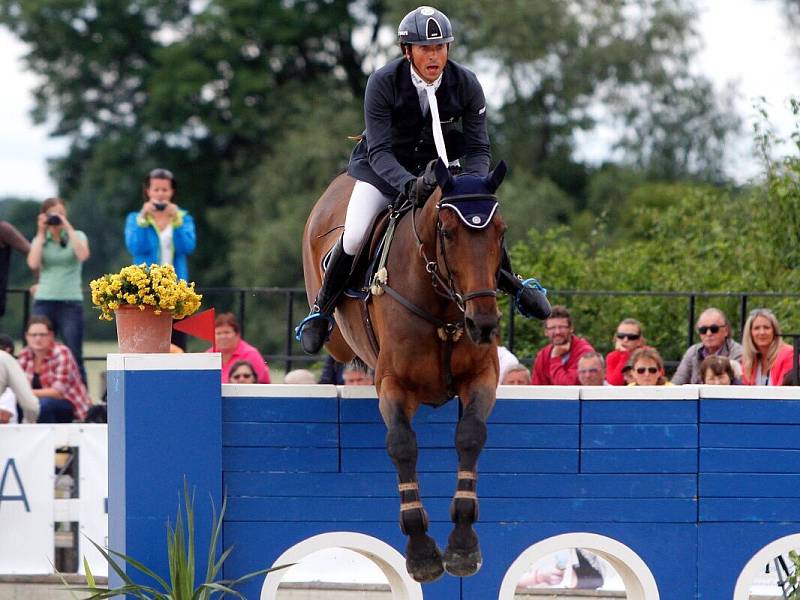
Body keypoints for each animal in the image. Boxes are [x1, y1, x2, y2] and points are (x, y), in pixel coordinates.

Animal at [300, 158, 506, 580]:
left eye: (501, 232)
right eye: (447, 232)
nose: (483, 323)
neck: (442, 302)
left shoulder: (482, 378)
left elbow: (470, 435)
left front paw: (462, 543)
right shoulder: (393, 384)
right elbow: (402, 444)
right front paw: (422, 550)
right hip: (335, 337)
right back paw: (314, 324)